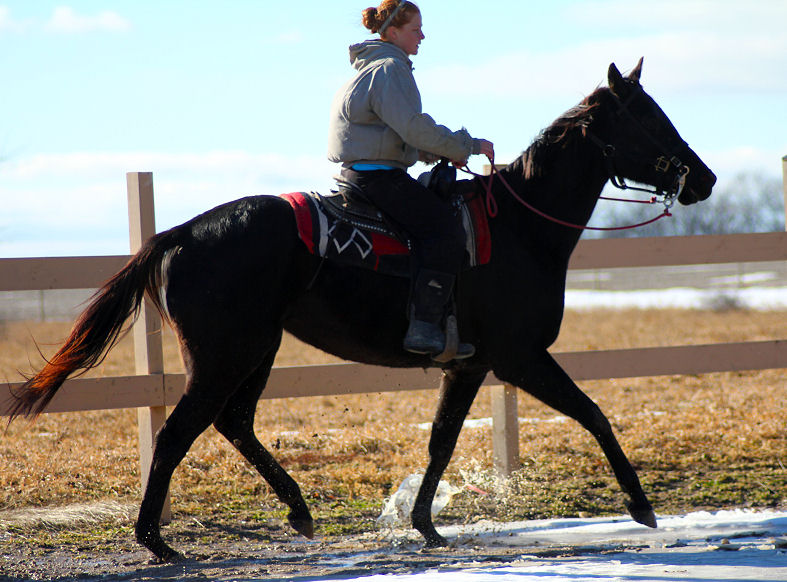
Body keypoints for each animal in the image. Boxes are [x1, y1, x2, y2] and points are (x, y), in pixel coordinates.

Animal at [6, 59, 716, 562]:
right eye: (649, 118)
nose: (703, 179)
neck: (522, 228)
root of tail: (179, 233)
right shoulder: (521, 358)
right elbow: (594, 414)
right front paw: (642, 507)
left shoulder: (470, 366)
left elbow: (441, 440)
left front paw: (426, 525)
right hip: (223, 355)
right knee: (178, 432)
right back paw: (156, 540)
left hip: (255, 350)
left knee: (233, 423)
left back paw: (297, 512)